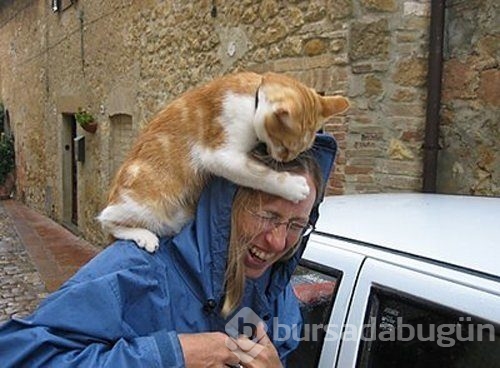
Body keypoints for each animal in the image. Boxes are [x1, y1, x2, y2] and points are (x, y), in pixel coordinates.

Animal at [96, 70, 348, 252]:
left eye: (299, 150)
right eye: (286, 147)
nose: (284, 158)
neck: (253, 97)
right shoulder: (218, 155)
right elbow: (259, 174)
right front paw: (292, 186)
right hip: (147, 202)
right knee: (107, 220)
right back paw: (144, 236)